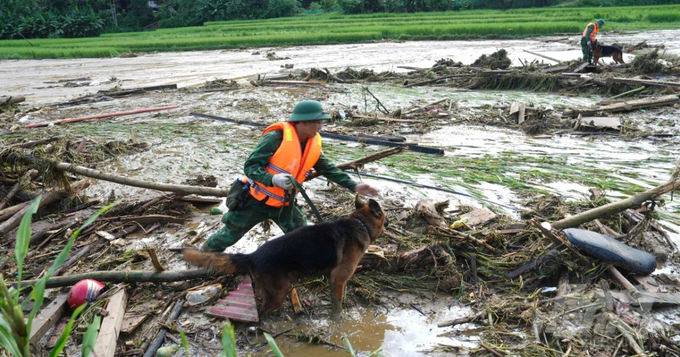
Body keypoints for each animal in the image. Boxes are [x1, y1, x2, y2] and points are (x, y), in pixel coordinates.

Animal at [173, 197, 386, 318]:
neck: (360, 223)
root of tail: (253, 256)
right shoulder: (338, 280)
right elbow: (338, 304)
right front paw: (338, 320)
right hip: (280, 291)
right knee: (262, 312)